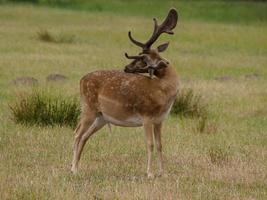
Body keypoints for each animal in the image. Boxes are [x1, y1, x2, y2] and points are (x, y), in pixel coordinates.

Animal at [71, 8, 180, 178]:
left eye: (142, 60)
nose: (126, 67)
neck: (164, 94)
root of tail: (81, 80)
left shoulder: (159, 121)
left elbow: (160, 145)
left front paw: (163, 173)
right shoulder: (146, 116)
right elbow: (150, 144)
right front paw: (149, 173)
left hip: (101, 117)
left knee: (84, 136)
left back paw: (76, 167)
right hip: (88, 108)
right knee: (77, 134)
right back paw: (73, 169)